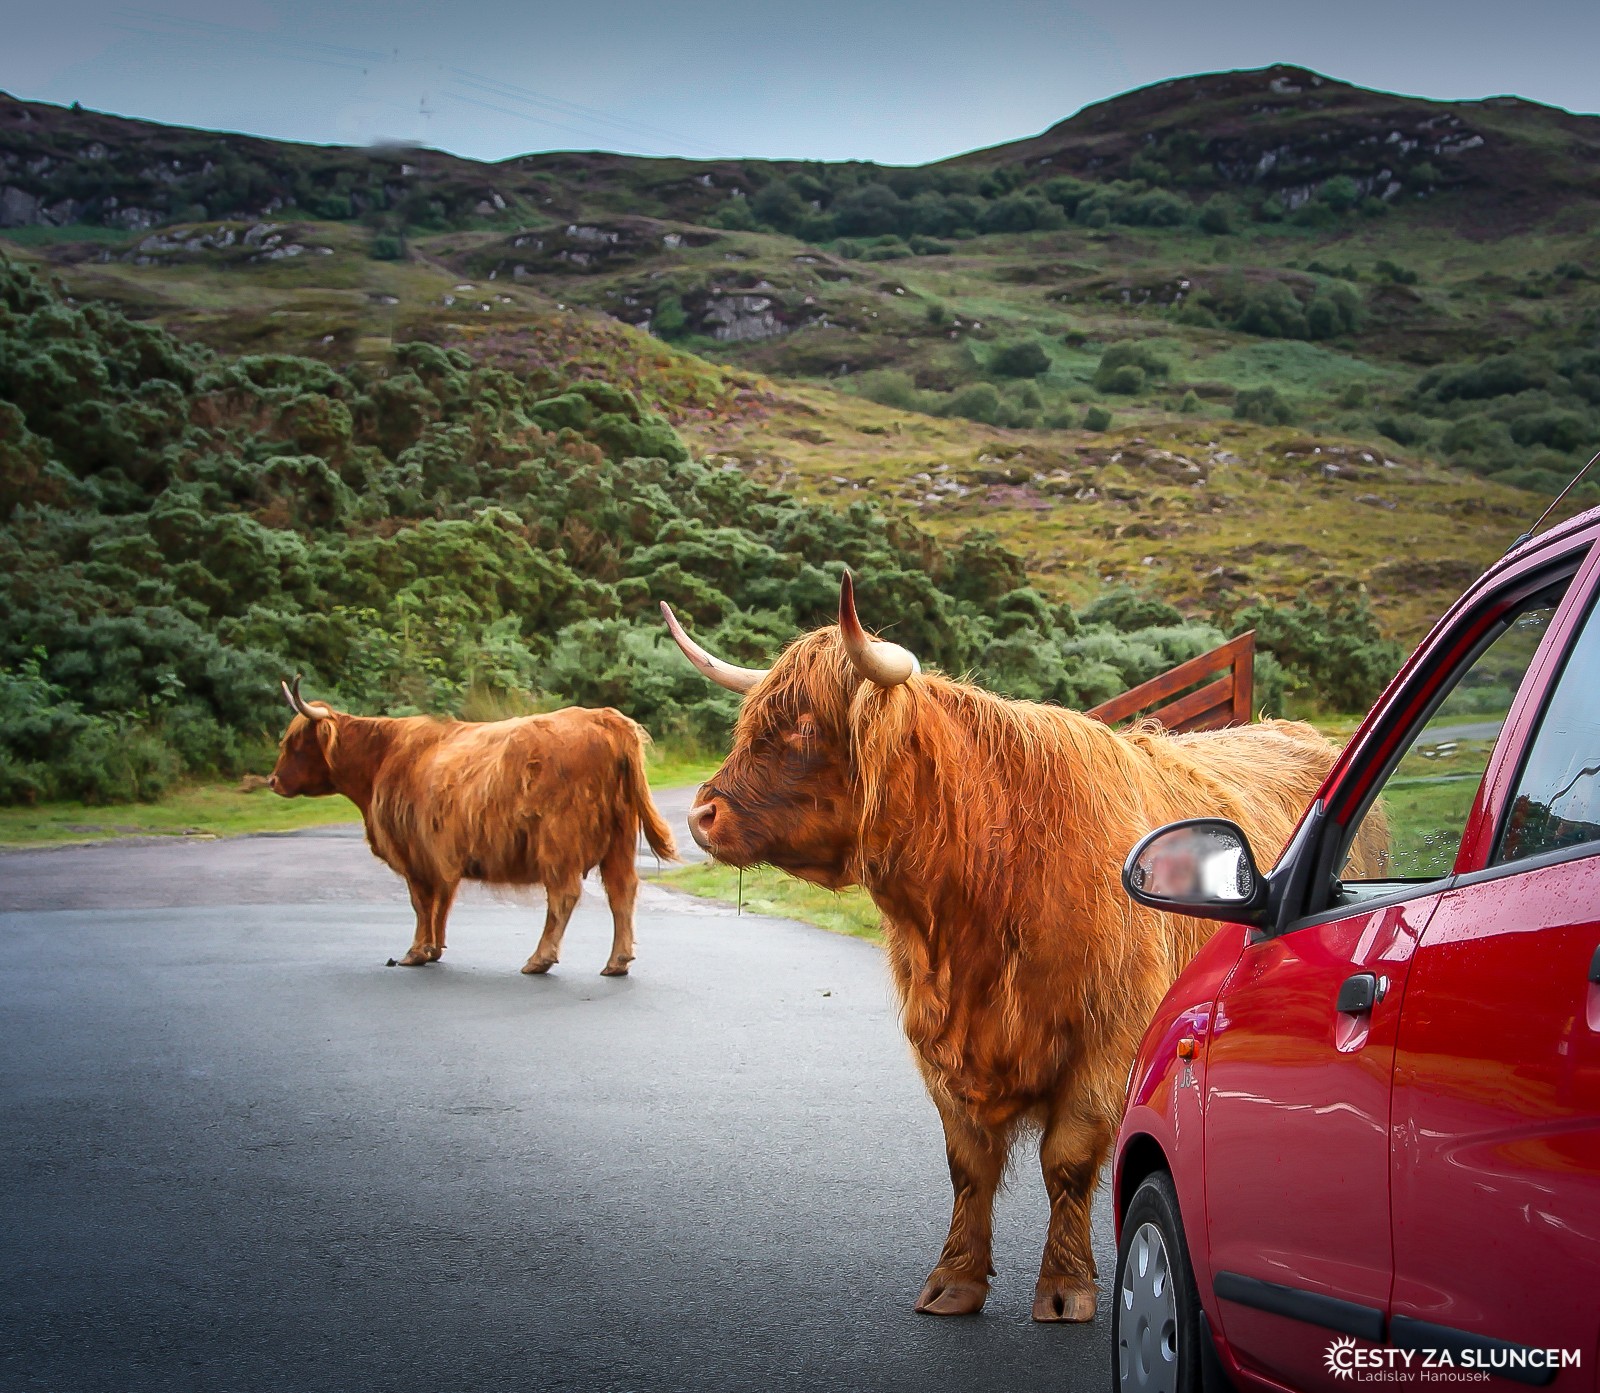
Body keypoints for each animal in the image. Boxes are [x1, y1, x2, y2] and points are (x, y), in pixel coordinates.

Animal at [268, 678, 677, 975]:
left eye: (293, 743)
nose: (272, 780)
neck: (382, 760)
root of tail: (604, 718)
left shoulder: (415, 855)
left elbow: (422, 903)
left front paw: (416, 952)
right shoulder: (441, 855)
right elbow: (442, 903)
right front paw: (434, 949)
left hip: (558, 842)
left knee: (564, 895)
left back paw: (539, 960)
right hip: (619, 841)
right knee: (622, 891)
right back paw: (616, 962)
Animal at [662, 575, 1381, 1322]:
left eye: (803, 727)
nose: (702, 814)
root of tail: (1290, 729)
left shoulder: (1106, 1039)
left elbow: (1067, 1159)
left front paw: (1065, 1288)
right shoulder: (938, 1047)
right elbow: (967, 1165)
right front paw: (954, 1280)